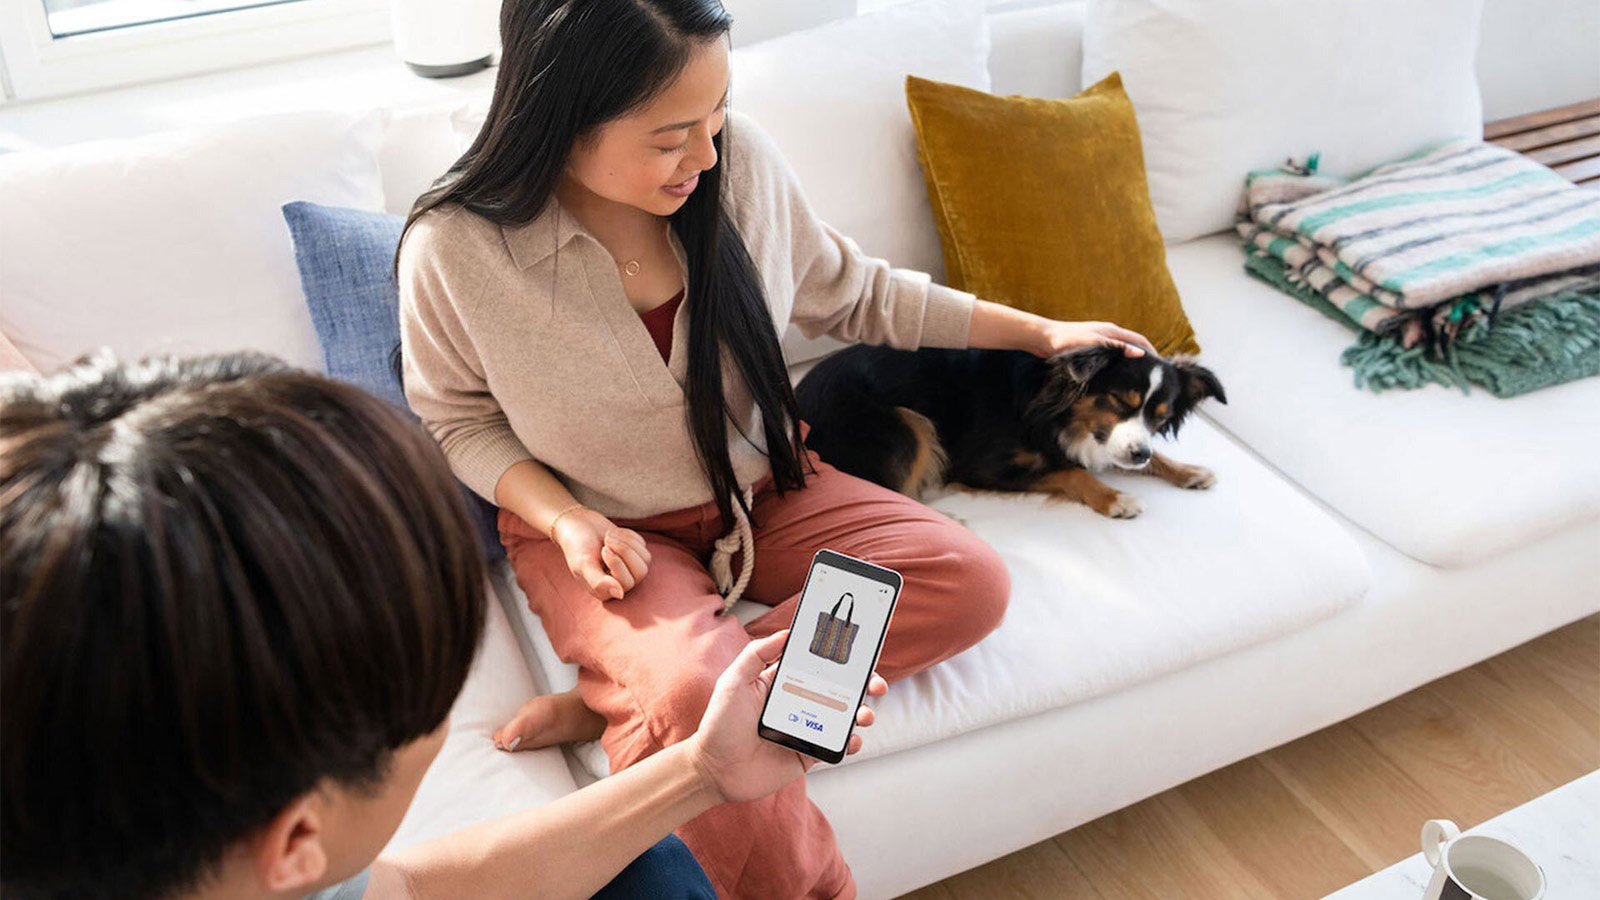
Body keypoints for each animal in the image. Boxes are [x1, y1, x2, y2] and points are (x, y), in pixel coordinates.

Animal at [796, 344, 1222, 518]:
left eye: (1160, 418)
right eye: (1119, 400)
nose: (1139, 455)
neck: (1051, 402)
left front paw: (1187, 470)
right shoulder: (983, 467)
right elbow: (1071, 471)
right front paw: (1115, 497)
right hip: (908, 424)